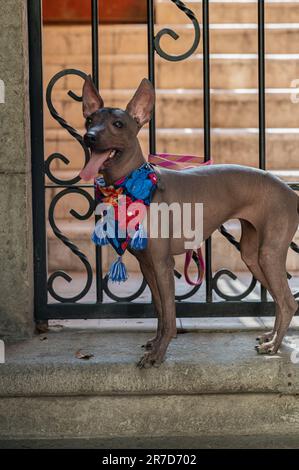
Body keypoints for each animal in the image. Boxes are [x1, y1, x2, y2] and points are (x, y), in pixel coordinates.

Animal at [80, 76, 299, 368]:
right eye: (89, 120)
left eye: (118, 124)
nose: (89, 137)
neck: (133, 185)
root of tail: (291, 192)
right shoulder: (148, 265)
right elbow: (160, 310)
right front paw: (155, 343)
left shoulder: (163, 264)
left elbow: (170, 317)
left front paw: (158, 355)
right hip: (252, 256)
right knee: (279, 298)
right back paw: (272, 337)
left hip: (269, 253)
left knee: (287, 301)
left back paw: (274, 346)